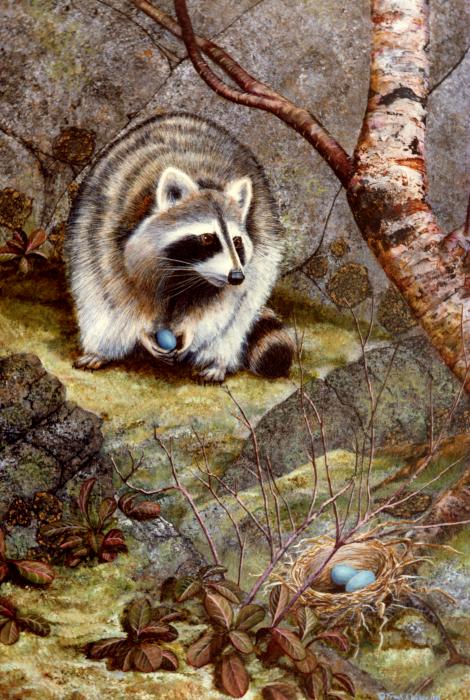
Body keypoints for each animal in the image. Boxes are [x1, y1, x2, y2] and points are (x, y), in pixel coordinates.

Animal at [64, 113, 294, 382]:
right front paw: (142, 329)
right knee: (98, 299)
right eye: (207, 238)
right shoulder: (109, 233)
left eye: (237, 242)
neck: (187, 270)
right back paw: (101, 349)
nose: (236, 276)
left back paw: (219, 359)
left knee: (238, 317)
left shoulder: (252, 253)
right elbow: (119, 293)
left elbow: (224, 305)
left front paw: (191, 331)